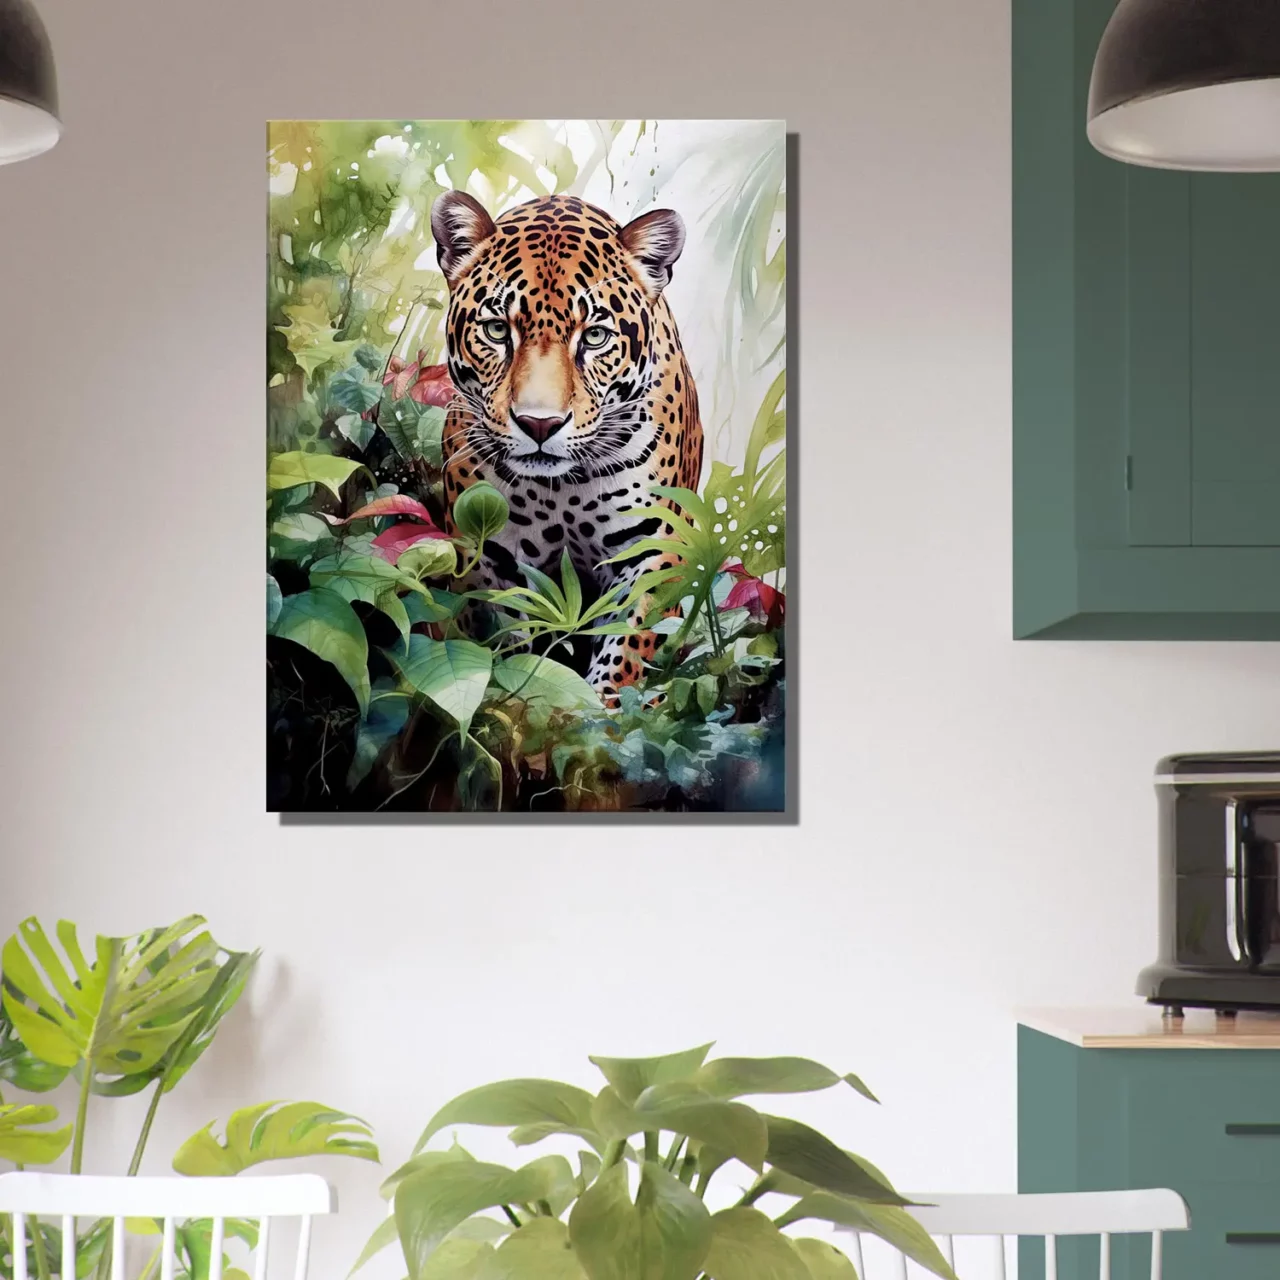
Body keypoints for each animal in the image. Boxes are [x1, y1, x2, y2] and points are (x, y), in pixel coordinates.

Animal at [429, 190, 704, 703]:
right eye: (497, 330)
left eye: (594, 336)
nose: (540, 424)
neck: (563, 489)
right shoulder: (489, 552)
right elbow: (509, 633)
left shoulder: (655, 546)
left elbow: (627, 643)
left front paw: (601, 708)